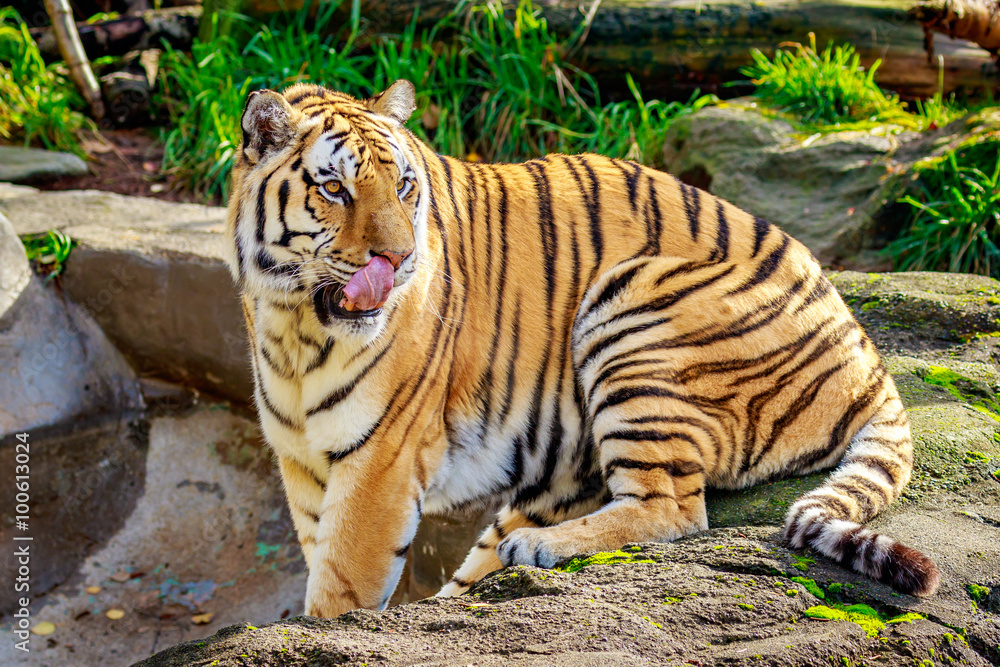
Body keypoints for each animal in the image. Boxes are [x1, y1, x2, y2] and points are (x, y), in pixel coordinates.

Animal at [224, 79, 940, 618]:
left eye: (402, 186)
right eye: (335, 189)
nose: (400, 260)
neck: (295, 328)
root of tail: (867, 356)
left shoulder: (380, 464)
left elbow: (340, 589)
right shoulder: (301, 464)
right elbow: (319, 558)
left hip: (633, 309)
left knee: (676, 508)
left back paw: (541, 550)